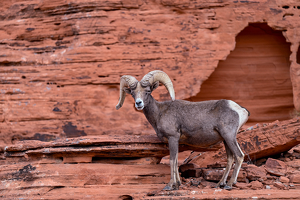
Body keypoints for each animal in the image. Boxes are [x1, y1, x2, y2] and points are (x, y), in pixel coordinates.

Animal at [116, 70, 250, 191]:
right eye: (132, 93)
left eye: (147, 91)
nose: (139, 103)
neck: (159, 113)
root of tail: (241, 110)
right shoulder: (176, 141)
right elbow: (176, 162)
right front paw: (177, 185)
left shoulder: (173, 138)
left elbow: (171, 161)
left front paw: (170, 186)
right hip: (225, 140)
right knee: (230, 159)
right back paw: (220, 184)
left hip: (229, 136)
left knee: (239, 156)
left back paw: (229, 184)